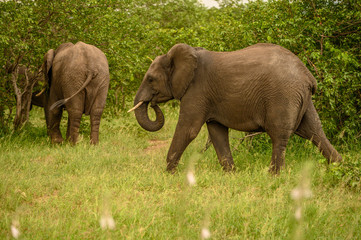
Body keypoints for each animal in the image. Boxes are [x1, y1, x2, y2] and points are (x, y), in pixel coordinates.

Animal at [131, 43, 342, 173]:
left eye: (150, 79)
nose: (152, 103)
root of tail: (308, 76)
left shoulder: (197, 91)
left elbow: (188, 130)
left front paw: (169, 173)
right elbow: (217, 132)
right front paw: (231, 173)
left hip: (283, 95)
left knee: (280, 136)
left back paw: (274, 176)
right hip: (301, 98)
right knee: (315, 132)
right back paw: (340, 169)